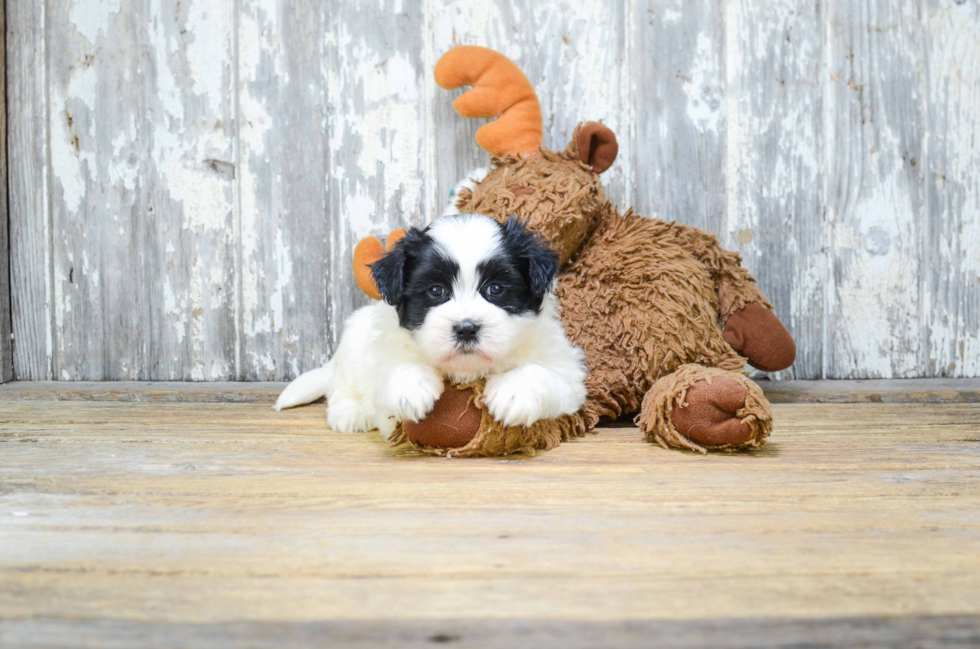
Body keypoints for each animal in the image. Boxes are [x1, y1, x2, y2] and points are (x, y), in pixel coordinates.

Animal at [272, 215, 584, 438]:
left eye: (495, 289)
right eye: (436, 291)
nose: (466, 328)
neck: (466, 371)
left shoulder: (568, 376)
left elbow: (543, 375)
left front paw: (514, 392)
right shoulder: (382, 353)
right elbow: (395, 370)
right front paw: (409, 388)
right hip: (352, 342)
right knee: (342, 386)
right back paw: (350, 413)